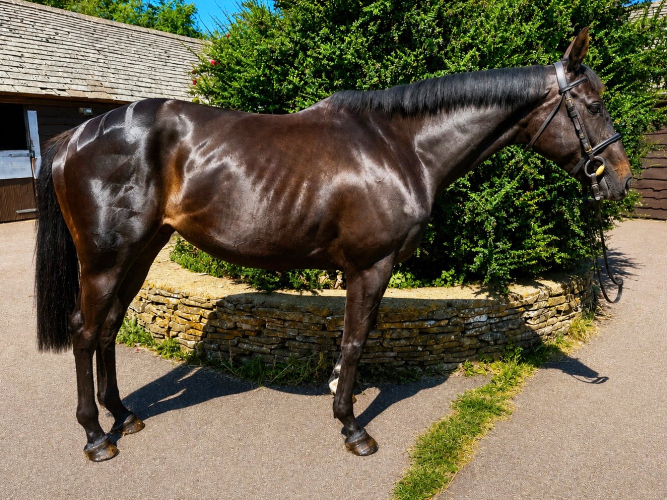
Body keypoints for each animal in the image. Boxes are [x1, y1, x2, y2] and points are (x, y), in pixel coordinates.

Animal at [35, 28, 631, 462]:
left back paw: (123, 415)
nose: (619, 179)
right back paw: (95, 436)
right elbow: (355, 340)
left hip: (141, 252)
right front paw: (352, 427)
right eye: (593, 105)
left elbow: (352, 340)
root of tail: (75, 137)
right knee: (85, 332)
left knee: (108, 328)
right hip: (106, 259)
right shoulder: (371, 266)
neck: (402, 147)